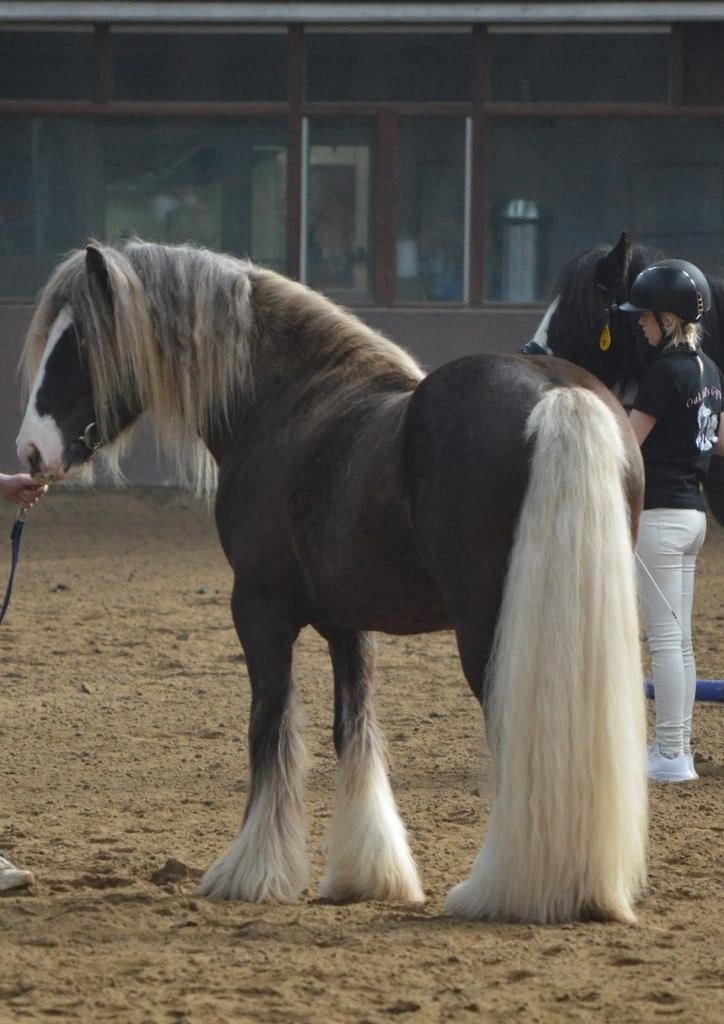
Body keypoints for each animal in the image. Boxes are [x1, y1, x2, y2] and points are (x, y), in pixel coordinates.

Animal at [16, 239, 648, 924]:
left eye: (78, 342)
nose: (30, 452)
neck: (290, 403)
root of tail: (560, 395)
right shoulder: (350, 622)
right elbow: (355, 731)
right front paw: (367, 874)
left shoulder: (258, 609)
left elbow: (270, 726)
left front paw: (251, 871)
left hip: (491, 632)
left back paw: (501, 888)